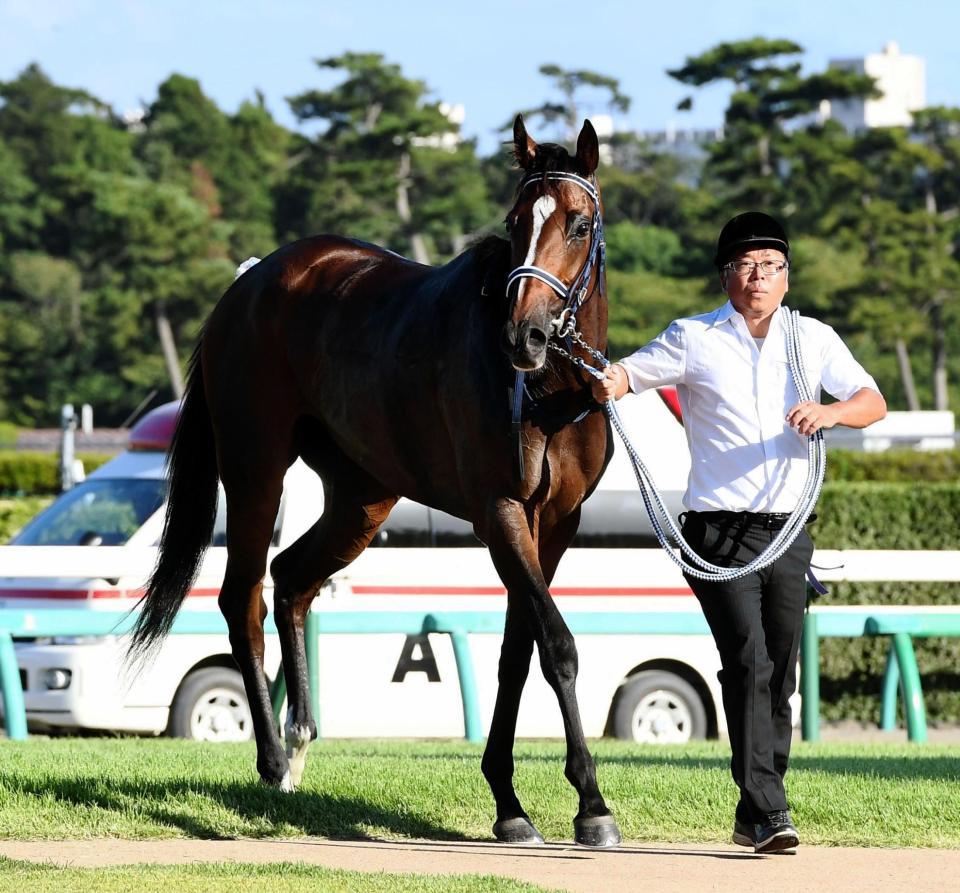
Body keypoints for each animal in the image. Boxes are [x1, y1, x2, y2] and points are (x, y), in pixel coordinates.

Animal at [129, 115, 624, 848]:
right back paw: (272, 757)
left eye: (579, 224)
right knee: (242, 596)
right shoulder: (500, 510)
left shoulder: (556, 522)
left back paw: (301, 739)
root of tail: (247, 286)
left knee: (292, 577)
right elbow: (557, 644)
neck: (547, 392)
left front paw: (509, 801)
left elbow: (519, 649)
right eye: (516, 221)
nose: (523, 335)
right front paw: (590, 802)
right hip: (254, 469)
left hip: (362, 496)